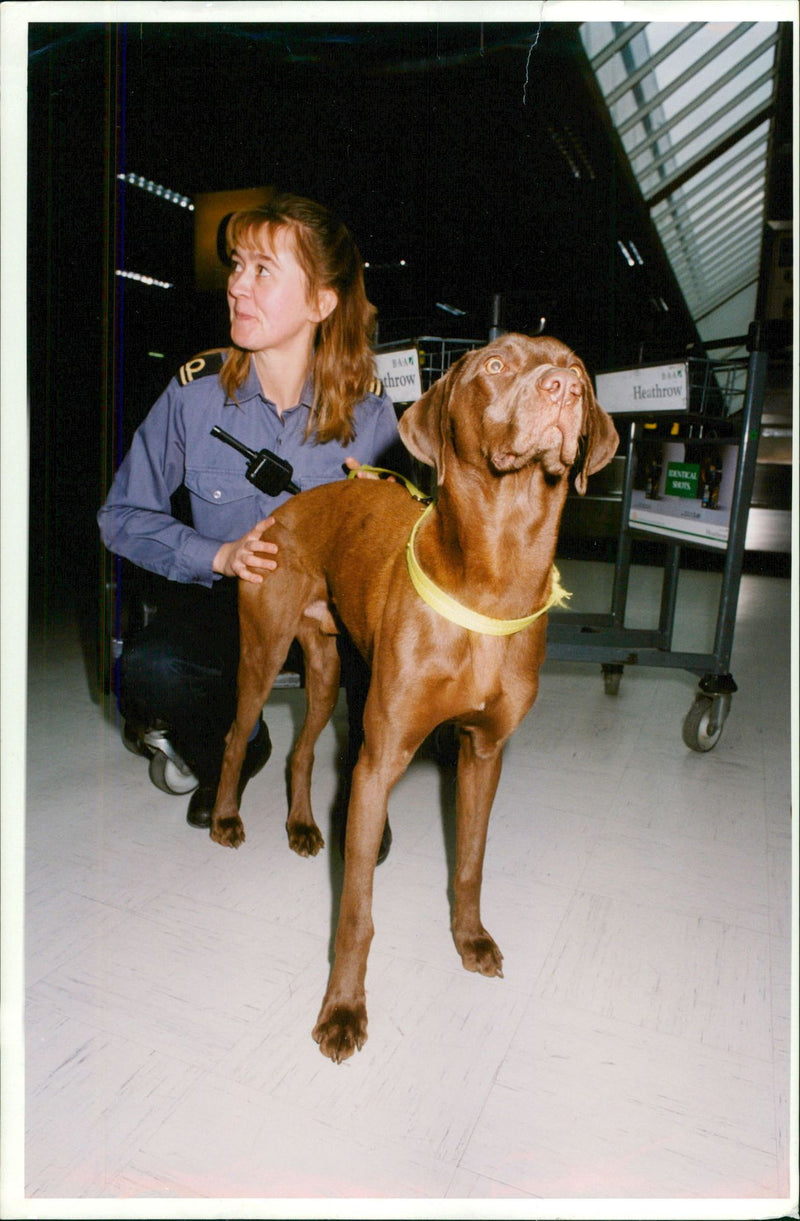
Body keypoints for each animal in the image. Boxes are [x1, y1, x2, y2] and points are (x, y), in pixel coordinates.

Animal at [210, 332, 615, 1059]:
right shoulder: (381, 759)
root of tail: (285, 506)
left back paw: (303, 825)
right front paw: (344, 1009)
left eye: (578, 372)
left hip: (326, 670)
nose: (562, 391)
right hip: (263, 652)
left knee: (303, 750)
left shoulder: (484, 753)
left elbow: (470, 863)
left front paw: (470, 938)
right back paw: (227, 819)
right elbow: (356, 911)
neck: (494, 582)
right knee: (236, 736)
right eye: (495, 365)